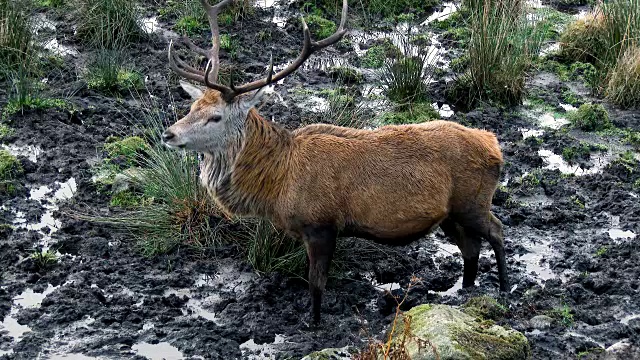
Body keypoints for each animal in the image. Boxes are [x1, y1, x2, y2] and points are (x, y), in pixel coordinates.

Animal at [164, 0, 510, 324]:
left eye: (215, 117)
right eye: (191, 107)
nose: (169, 134)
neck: (278, 183)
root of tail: (494, 144)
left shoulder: (321, 224)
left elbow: (316, 283)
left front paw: (314, 324)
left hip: (472, 200)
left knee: (496, 230)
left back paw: (504, 289)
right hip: (450, 214)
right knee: (471, 248)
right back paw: (466, 289)